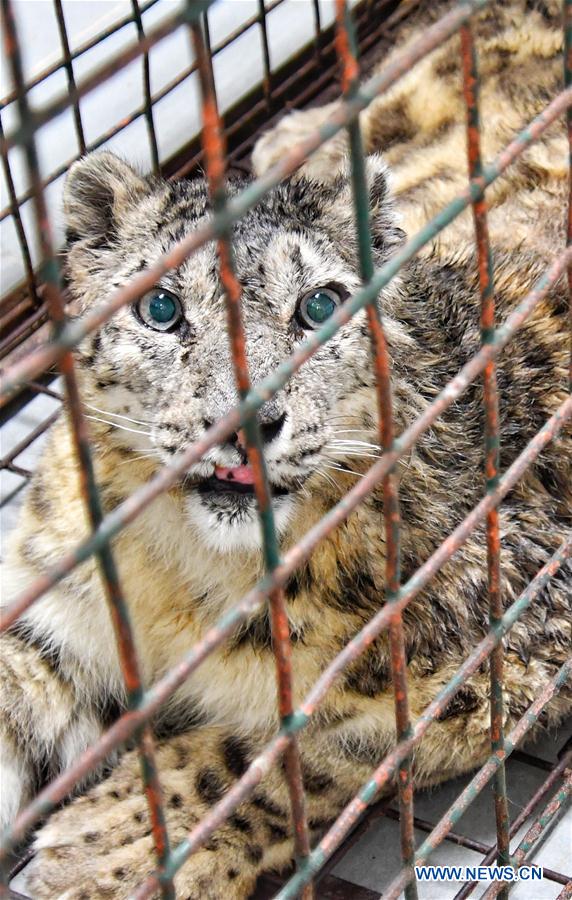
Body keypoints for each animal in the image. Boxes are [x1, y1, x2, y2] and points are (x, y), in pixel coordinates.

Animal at [1, 0, 570, 897]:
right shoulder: (55, 607)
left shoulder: (515, 634)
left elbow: (304, 747)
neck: (183, 581)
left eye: (320, 304)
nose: (243, 421)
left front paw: (109, 847)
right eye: (161, 307)